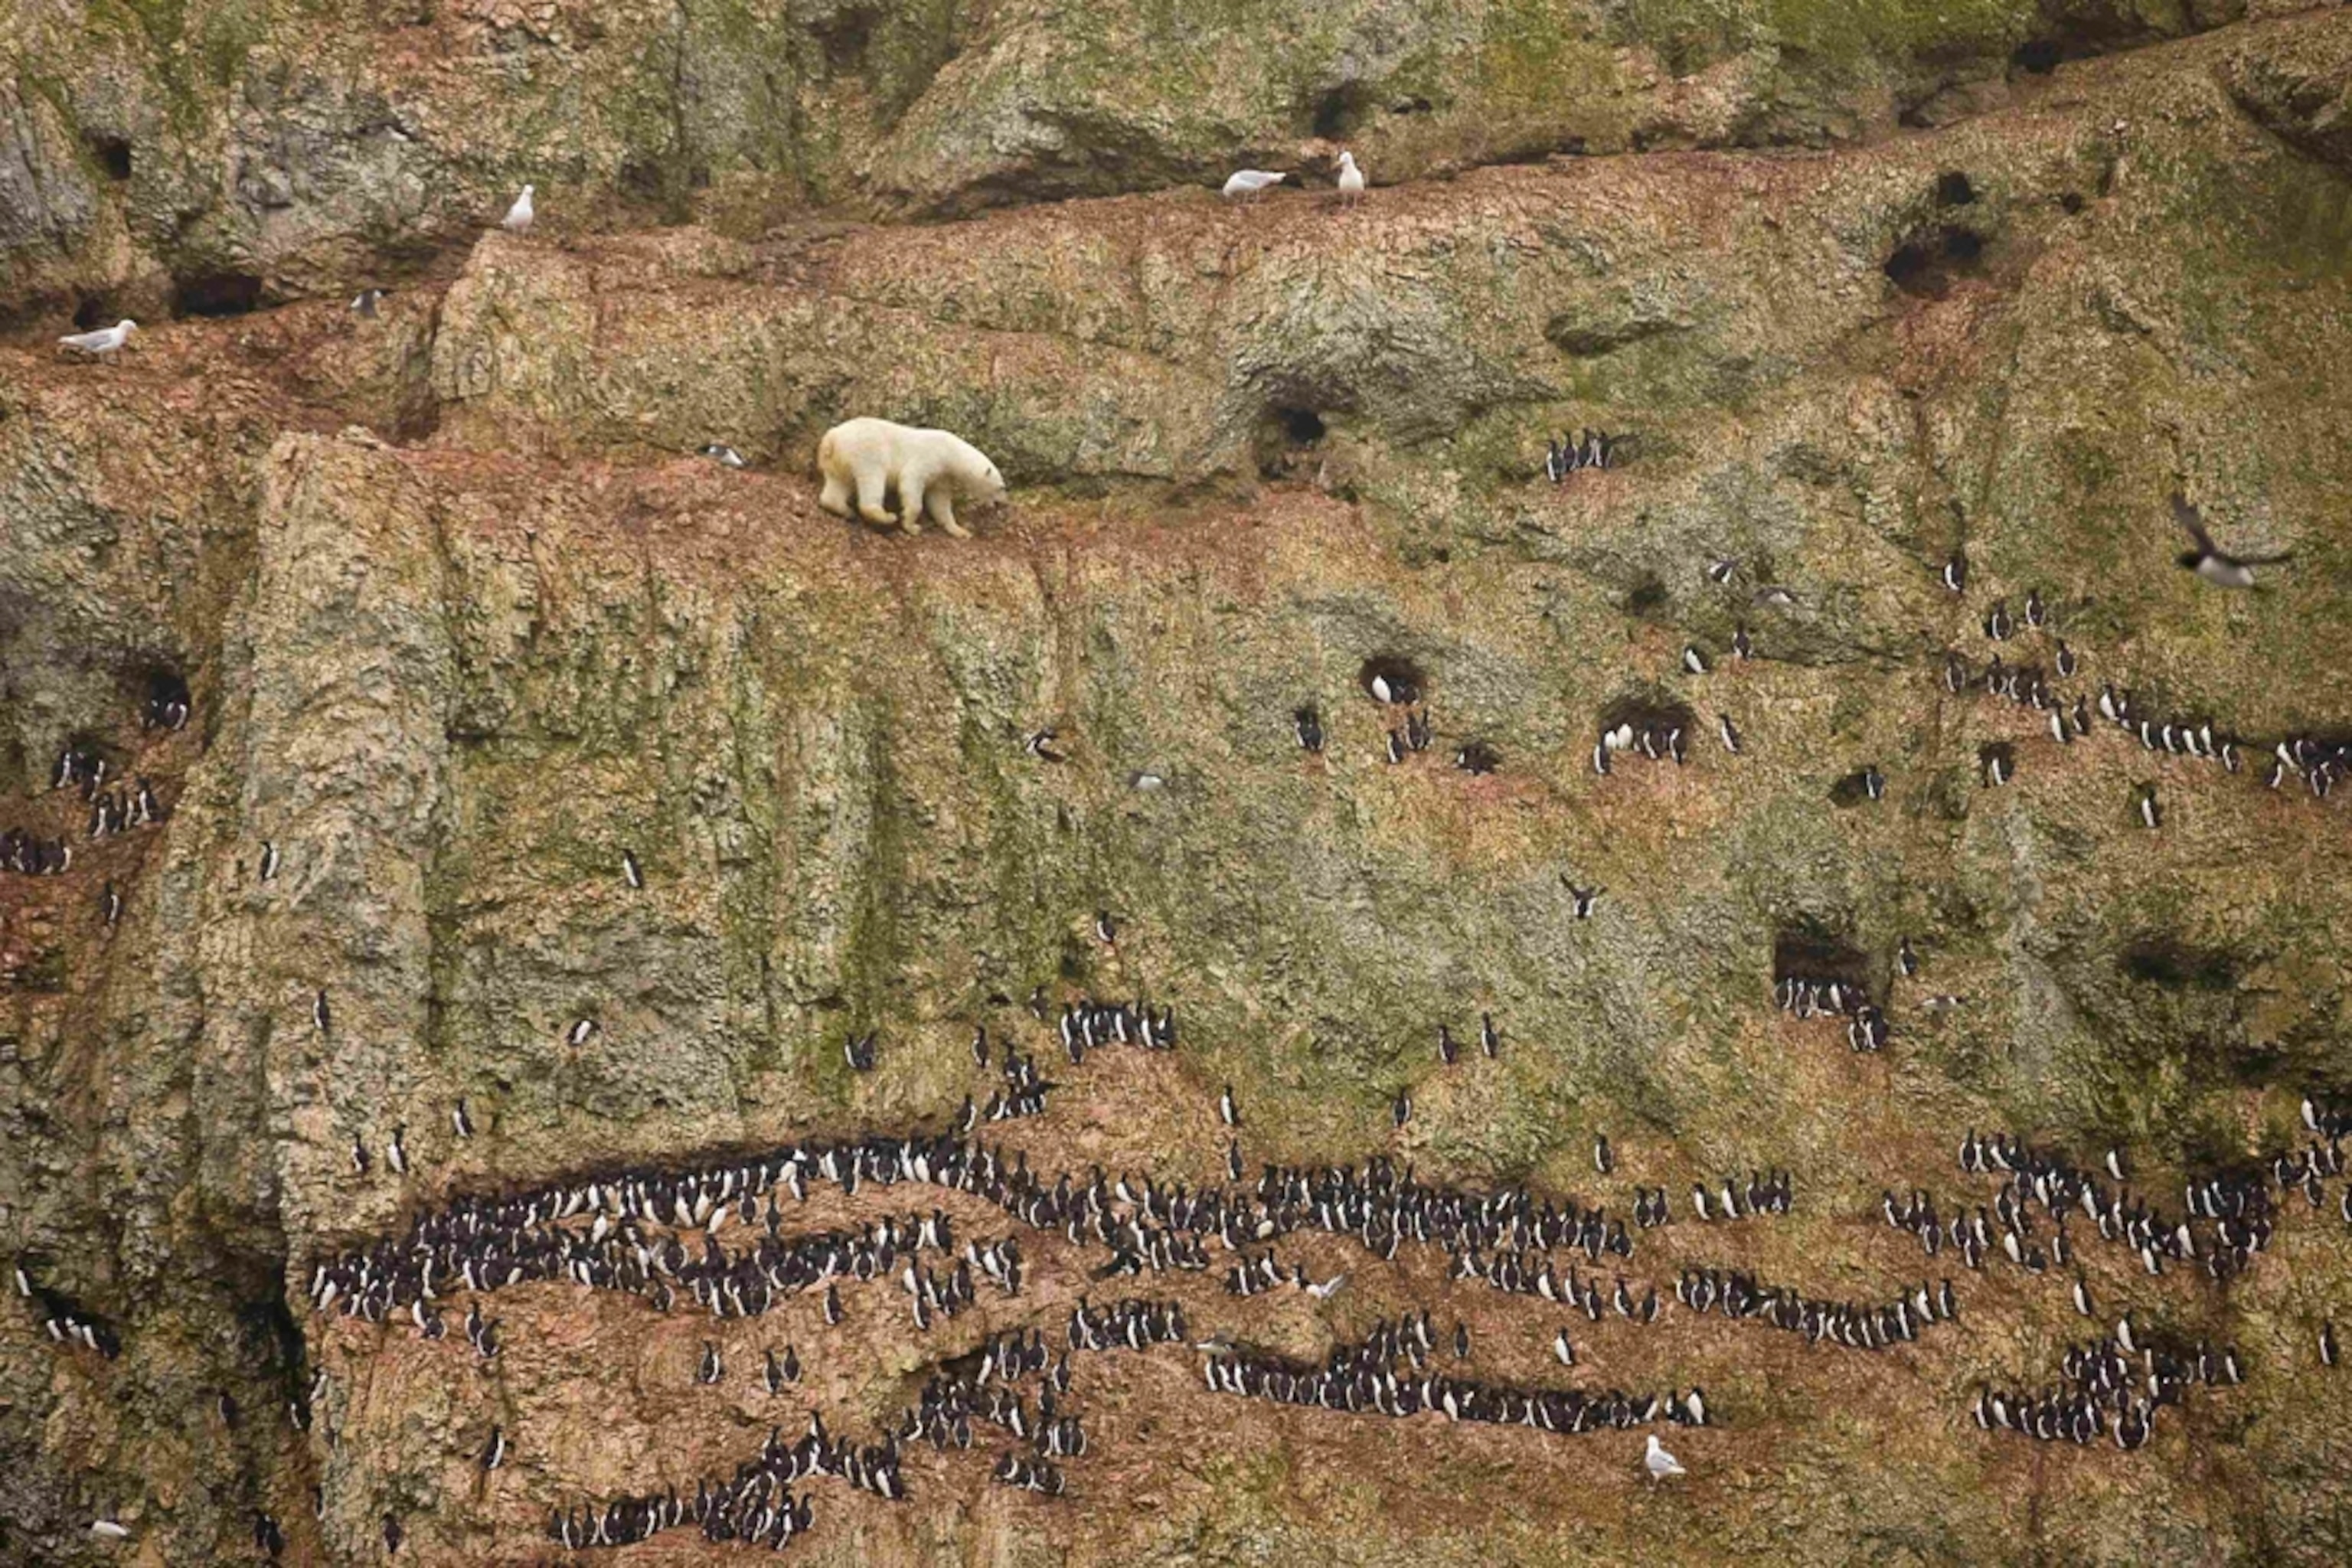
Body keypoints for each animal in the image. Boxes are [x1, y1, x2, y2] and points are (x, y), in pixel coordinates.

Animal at [815, 417, 1008, 539]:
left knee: (837, 485)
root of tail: (832, 438)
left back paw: (846, 511)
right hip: (866, 452)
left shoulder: (942, 476)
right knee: (873, 479)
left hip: (836, 461)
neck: (951, 453)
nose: (1003, 503)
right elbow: (912, 480)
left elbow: (940, 501)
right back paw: (885, 516)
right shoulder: (930, 457)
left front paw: (961, 531)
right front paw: (912, 526)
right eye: (1001, 487)